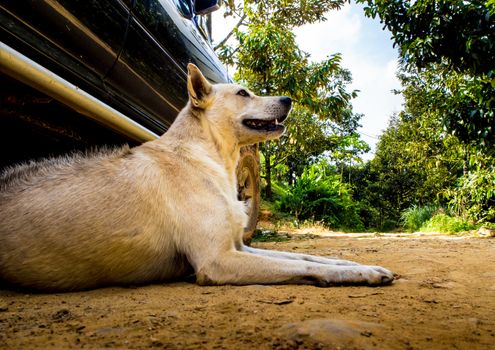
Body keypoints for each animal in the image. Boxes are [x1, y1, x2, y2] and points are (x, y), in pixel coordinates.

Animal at [0, 64, 396, 292]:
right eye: (243, 92)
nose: (288, 98)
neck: (207, 158)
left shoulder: (239, 246)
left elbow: (311, 257)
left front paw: (357, 265)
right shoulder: (219, 260)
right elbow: (299, 264)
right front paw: (360, 275)